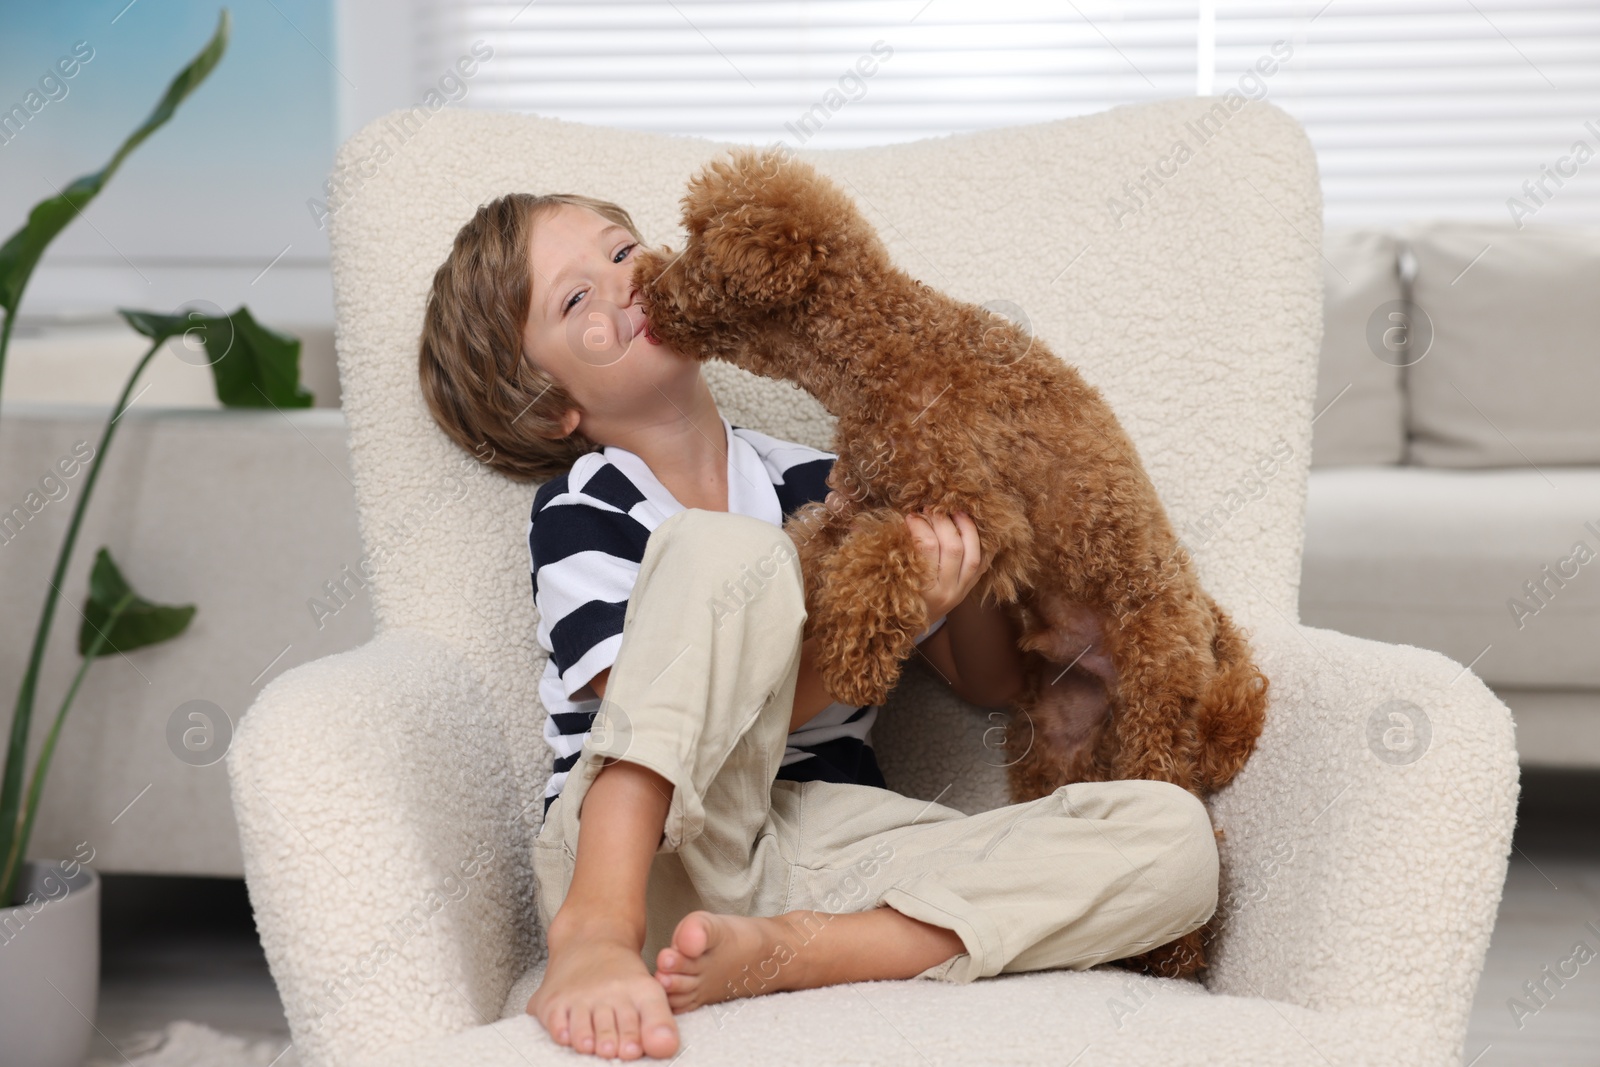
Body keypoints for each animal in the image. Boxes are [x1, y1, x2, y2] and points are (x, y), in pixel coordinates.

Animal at [630, 146, 1267, 979]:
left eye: (698, 249)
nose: (642, 280)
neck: (882, 345)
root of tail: (1207, 623)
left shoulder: (977, 517)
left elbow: (885, 557)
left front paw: (855, 657)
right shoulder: (854, 500)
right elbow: (809, 544)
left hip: (1157, 697)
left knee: (1182, 806)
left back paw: (1174, 951)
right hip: (1059, 736)